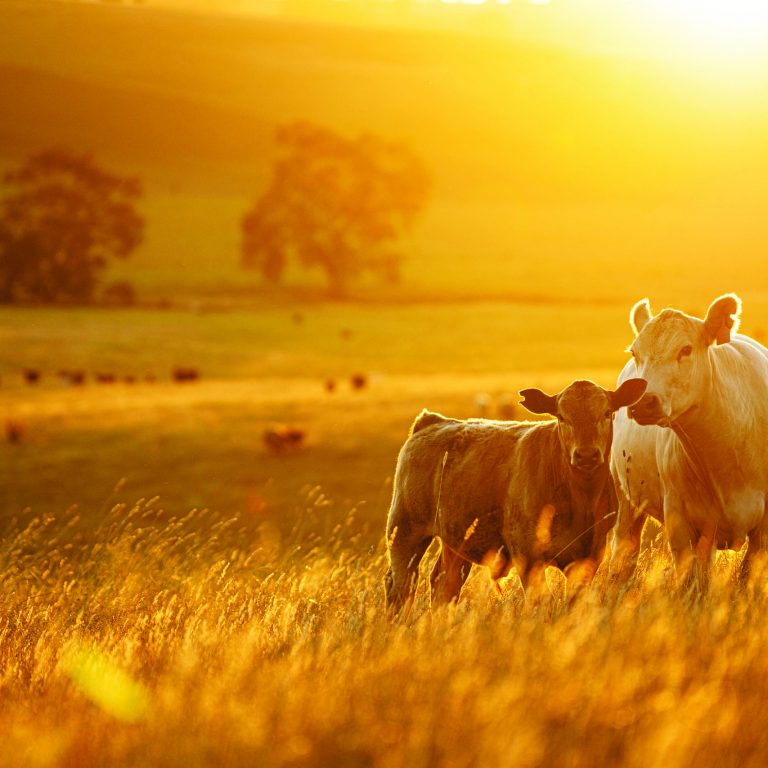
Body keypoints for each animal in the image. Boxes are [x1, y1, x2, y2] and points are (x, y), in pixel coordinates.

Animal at [384, 378, 647, 613]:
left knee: (445, 584)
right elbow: (542, 603)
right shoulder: (527, 555)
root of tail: (433, 421)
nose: (586, 455)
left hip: (455, 541)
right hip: (405, 529)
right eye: (561, 417)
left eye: (607, 412)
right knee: (400, 584)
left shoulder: (589, 557)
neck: (580, 500)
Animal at [609, 293, 768, 582]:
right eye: (635, 353)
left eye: (685, 350)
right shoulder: (679, 520)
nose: (643, 402)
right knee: (624, 554)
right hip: (625, 500)